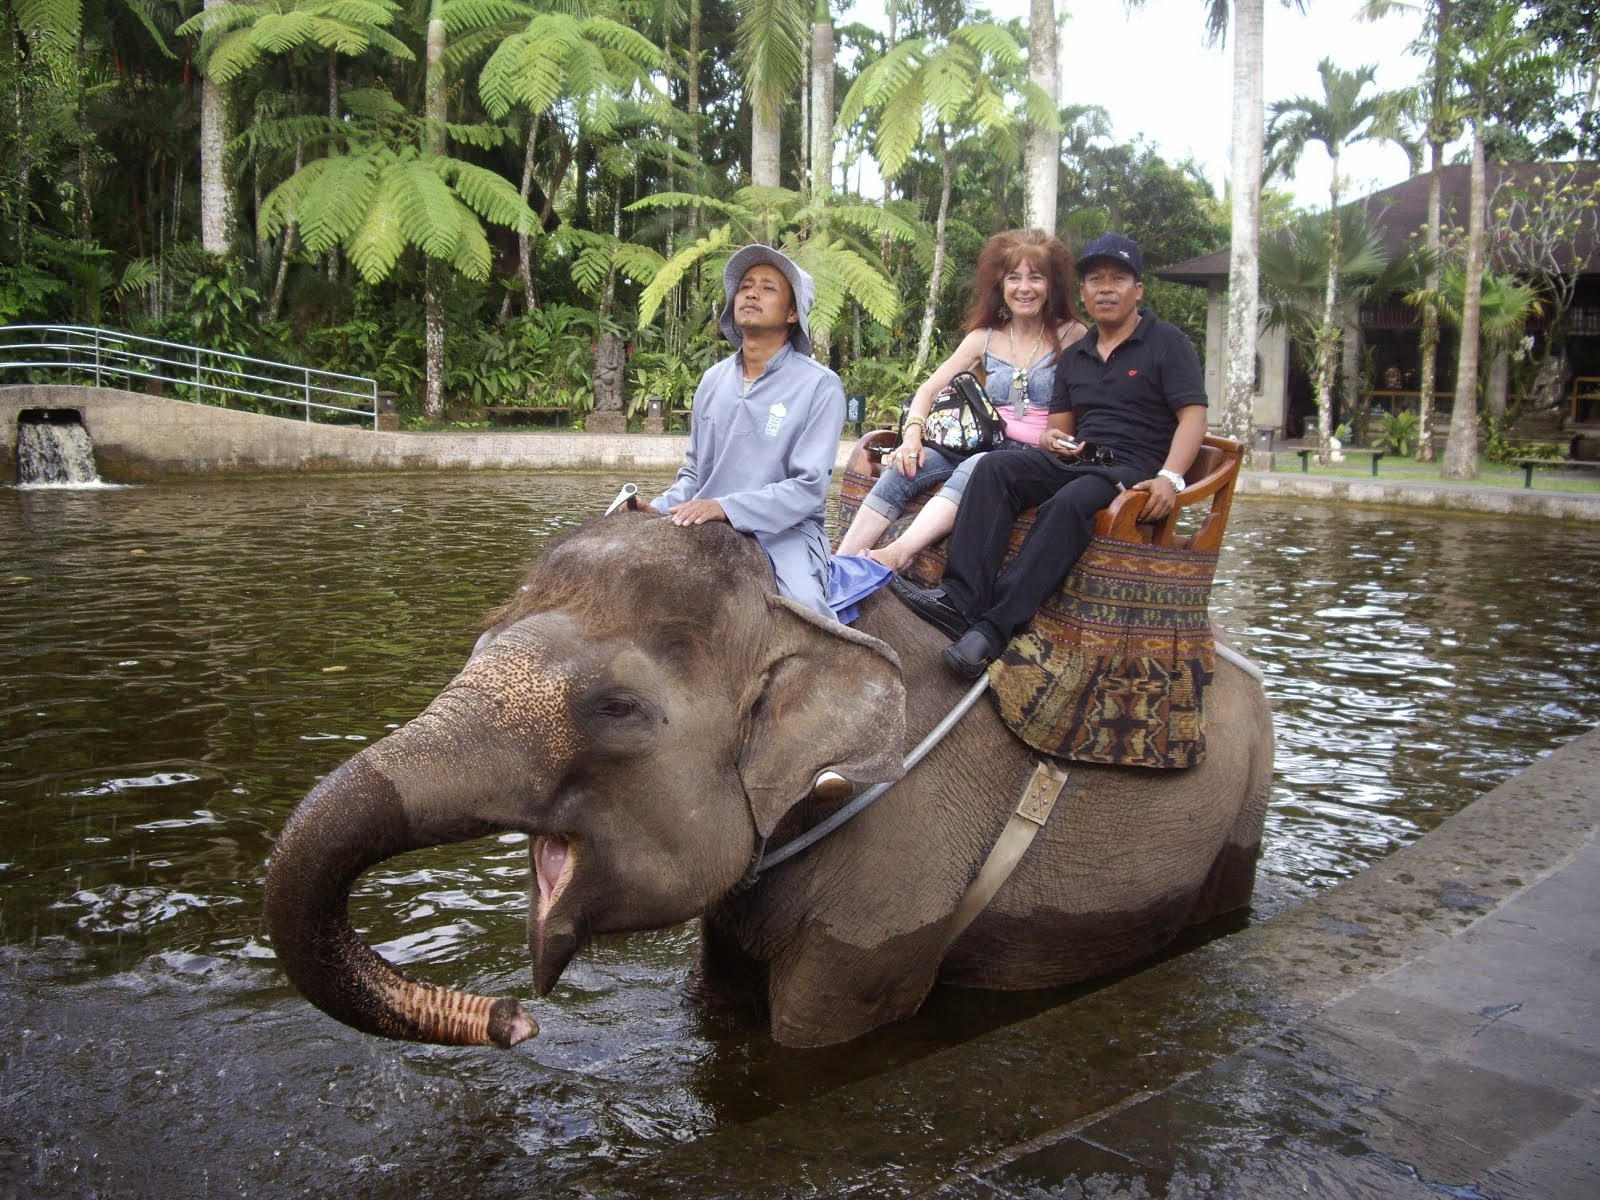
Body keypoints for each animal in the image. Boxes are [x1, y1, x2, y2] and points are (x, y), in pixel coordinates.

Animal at [272, 512, 1273, 1049]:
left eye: (615, 709)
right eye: (478, 645)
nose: (510, 1020)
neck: (802, 617)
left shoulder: (891, 906)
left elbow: (813, 1040)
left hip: (1244, 810)